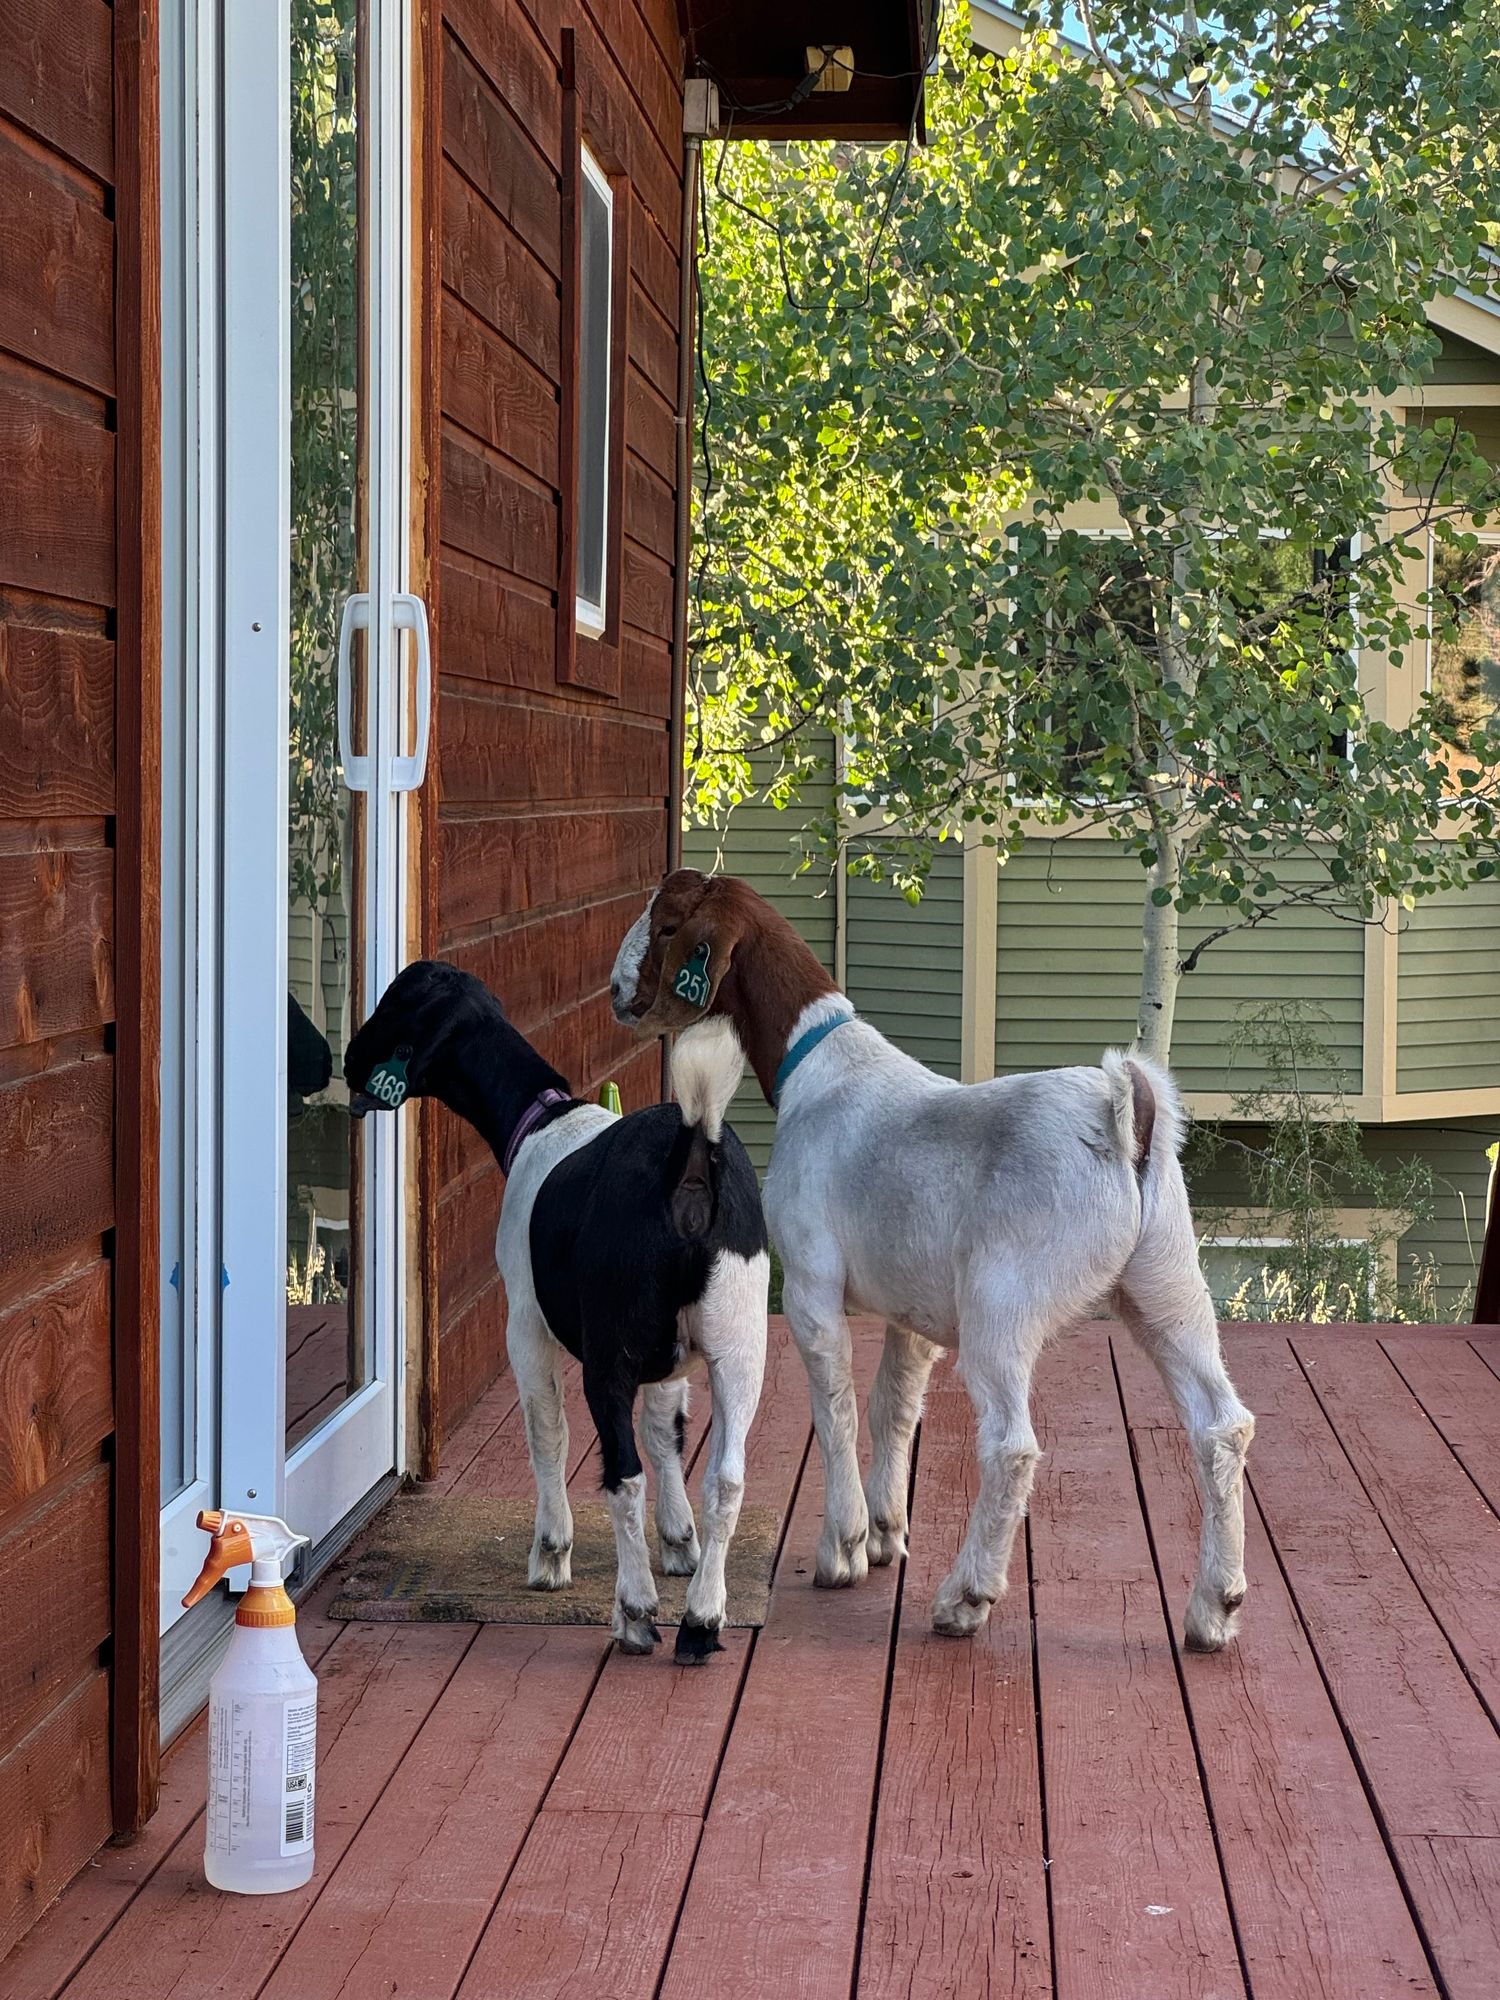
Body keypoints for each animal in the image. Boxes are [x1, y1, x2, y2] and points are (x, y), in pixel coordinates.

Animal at [346, 960, 768, 1664]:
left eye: (395, 1004)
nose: (348, 1060)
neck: (541, 1121)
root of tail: (690, 1157)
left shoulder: (526, 1328)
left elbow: (548, 1432)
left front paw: (551, 1553)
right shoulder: (669, 1360)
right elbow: (666, 1432)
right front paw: (679, 1543)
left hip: (609, 1356)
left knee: (622, 1476)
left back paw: (636, 1612)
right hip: (740, 1343)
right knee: (726, 1479)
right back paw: (703, 1619)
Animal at [612, 868, 1256, 1648]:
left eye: (669, 925)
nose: (616, 992)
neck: (817, 1064)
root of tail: (1122, 1112)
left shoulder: (811, 1286)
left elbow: (836, 1409)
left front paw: (844, 1548)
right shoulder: (909, 1313)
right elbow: (893, 1405)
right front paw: (887, 1532)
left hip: (1003, 1303)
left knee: (1011, 1448)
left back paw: (964, 1598)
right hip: (1167, 1283)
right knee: (1221, 1424)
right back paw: (1214, 1607)